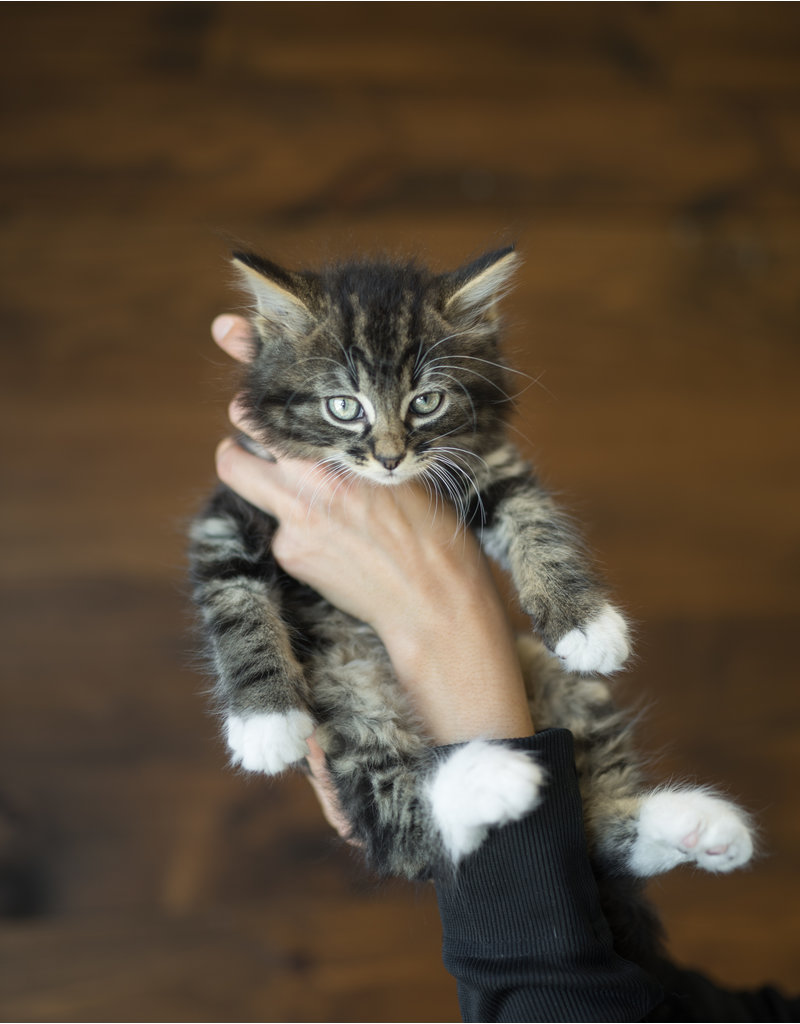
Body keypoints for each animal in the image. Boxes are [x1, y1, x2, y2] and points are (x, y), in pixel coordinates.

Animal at [190, 245, 753, 929]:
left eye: (427, 402)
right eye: (344, 406)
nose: (389, 458)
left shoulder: (495, 471)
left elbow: (540, 525)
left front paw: (587, 623)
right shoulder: (229, 514)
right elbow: (236, 604)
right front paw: (265, 723)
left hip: (550, 679)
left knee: (583, 836)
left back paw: (695, 824)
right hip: (353, 706)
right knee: (405, 832)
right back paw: (500, 779)